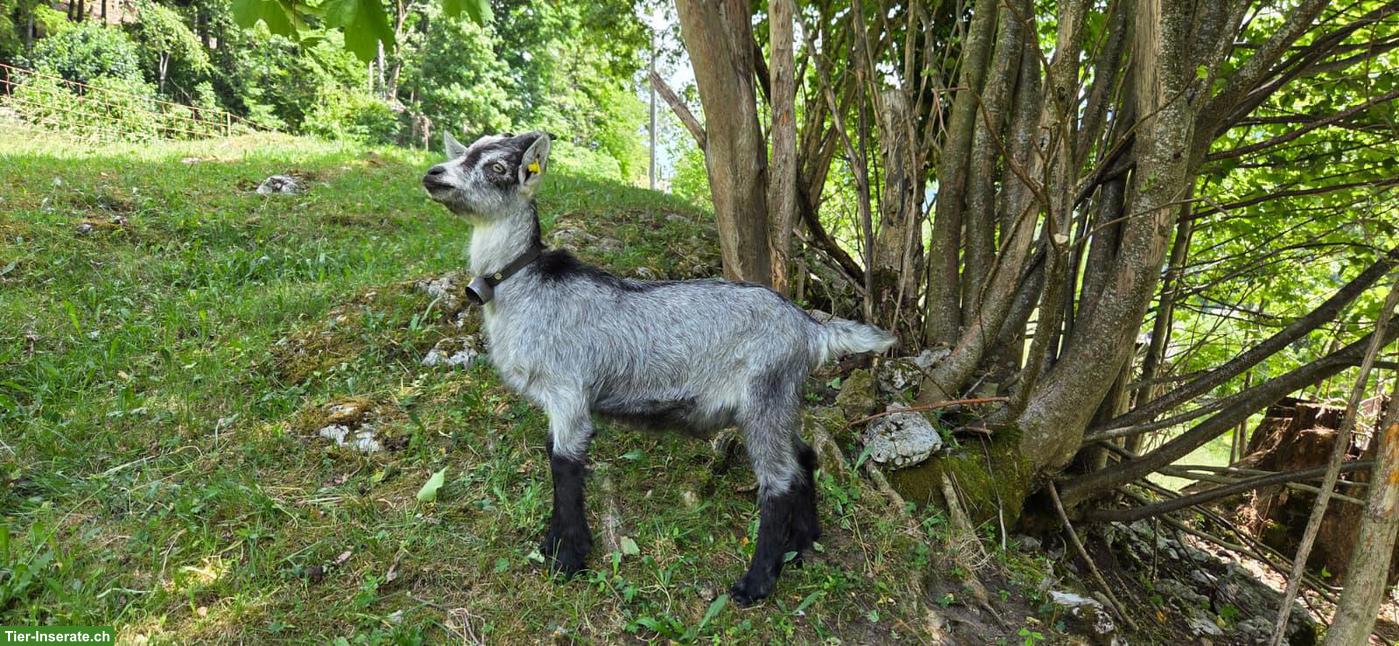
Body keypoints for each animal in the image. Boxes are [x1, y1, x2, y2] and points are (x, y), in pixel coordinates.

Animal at [422, 131, 895, 605]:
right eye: (464, 151)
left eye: (498, 167)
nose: (433, 175)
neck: (525, 286)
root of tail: (810, 329)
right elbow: (553, 457)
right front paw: (552, 545)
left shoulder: (568, 391)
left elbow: (564, 465)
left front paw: (568, 559)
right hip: (781, 402)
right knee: (804, 457)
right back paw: (802, 542)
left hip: (766, 394)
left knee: (779, 482)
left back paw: (756, 583)